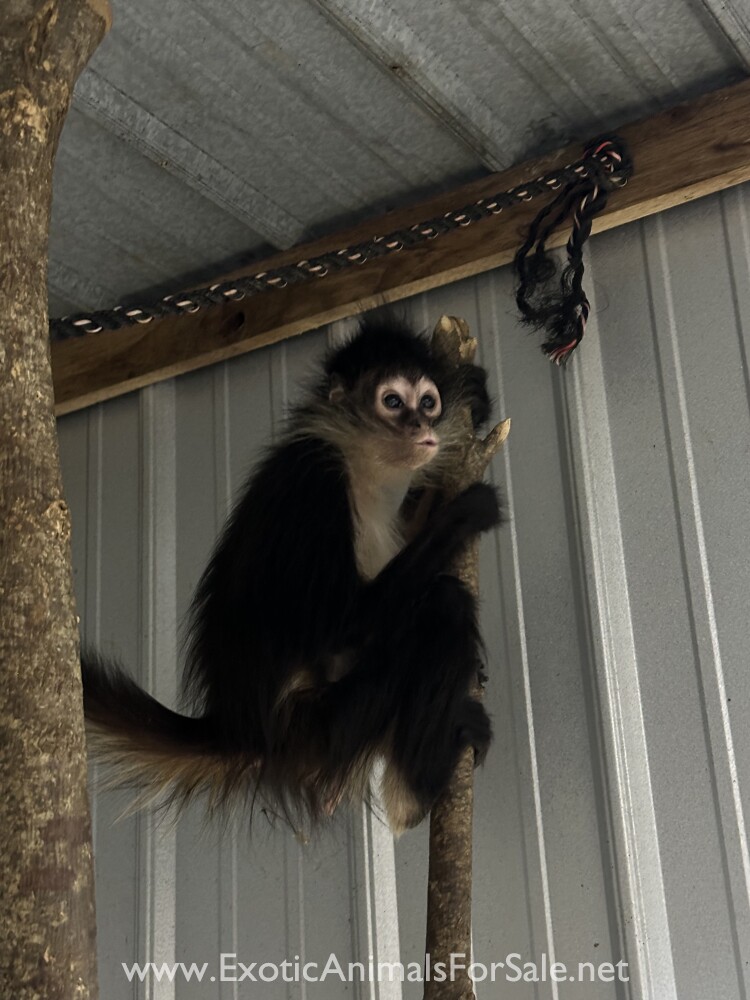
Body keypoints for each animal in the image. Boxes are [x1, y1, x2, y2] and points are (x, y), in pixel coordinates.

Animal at [81, 313, 502, 835]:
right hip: (327, 727)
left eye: (428, 402)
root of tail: (243, 734)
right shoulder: (314, 483)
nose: (421, 426)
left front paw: (474, 397)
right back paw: (417, 793)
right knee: (444, 604)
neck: (358, 462)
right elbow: (338, 629)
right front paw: (466, 512)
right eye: (392, 402)